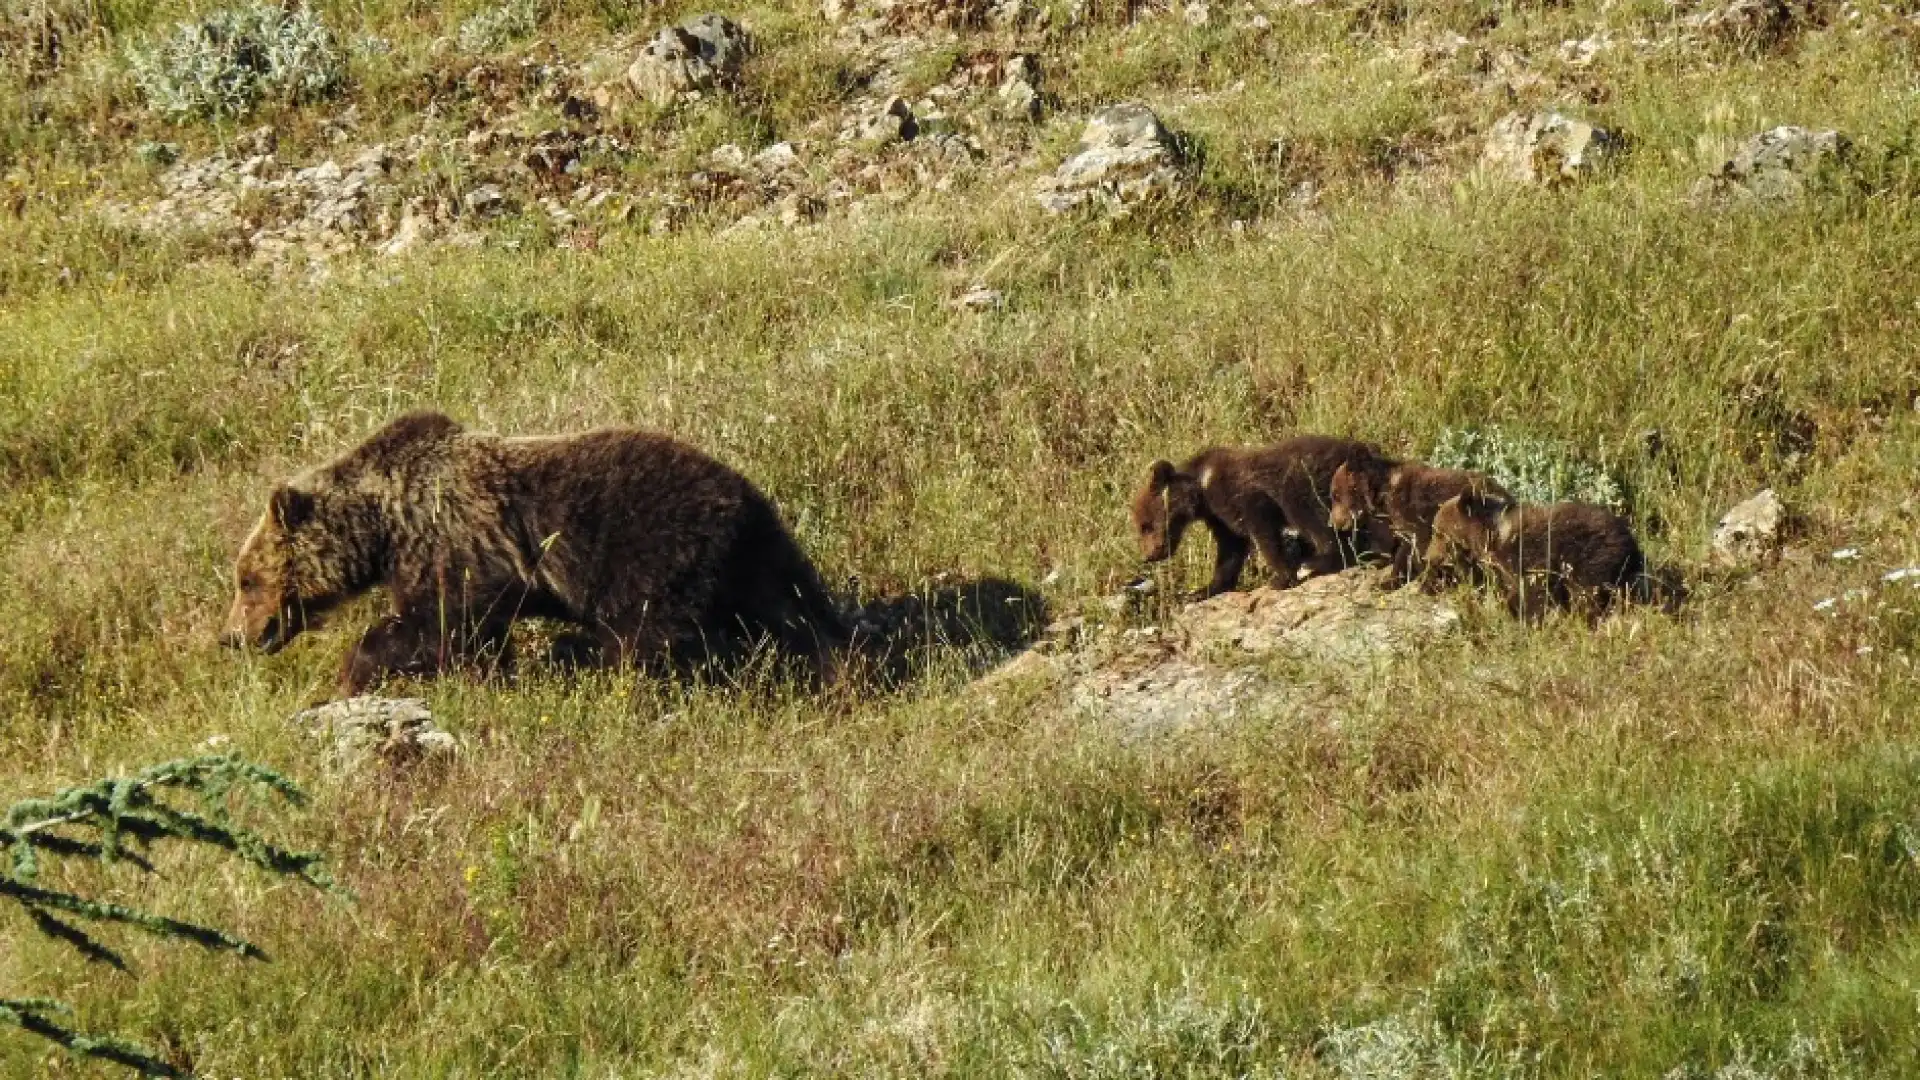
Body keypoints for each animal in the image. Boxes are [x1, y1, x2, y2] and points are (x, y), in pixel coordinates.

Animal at [219, 407, 848, 691]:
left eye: (246, 579)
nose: (232, 637)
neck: (382, 525)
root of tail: (743, 496)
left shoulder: (452, 539)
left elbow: (440, 621)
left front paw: (357, 668)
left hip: (653, 546)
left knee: (648, 634)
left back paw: (587, 658)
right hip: (757, 553)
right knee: (794, 608)